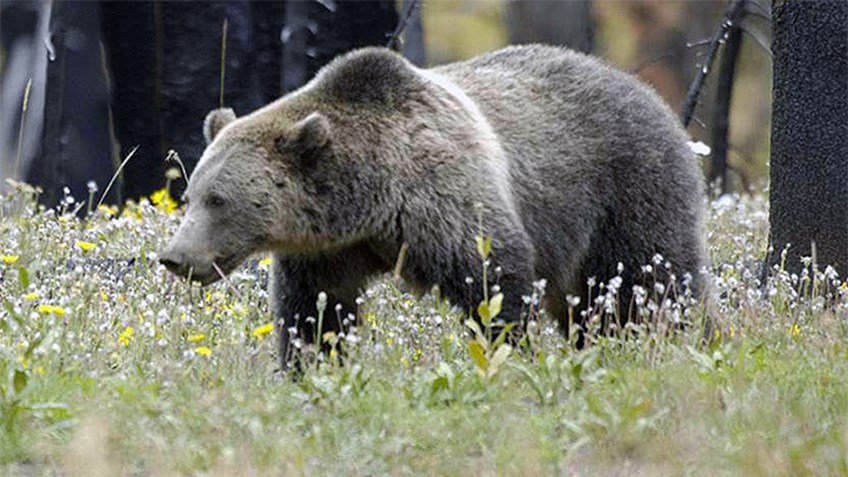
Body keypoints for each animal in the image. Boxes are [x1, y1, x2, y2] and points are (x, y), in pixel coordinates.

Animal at [160, 45, 707, 366]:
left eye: (218, 199)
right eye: (189, 195)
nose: (175, 257)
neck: (371, 199)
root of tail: (647, 91)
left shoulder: (444, 200)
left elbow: (494, 282)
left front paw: (511, 356)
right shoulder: (329, 250)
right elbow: (316, 311)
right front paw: (313, 366)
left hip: (626, 189)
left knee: (647, 283)